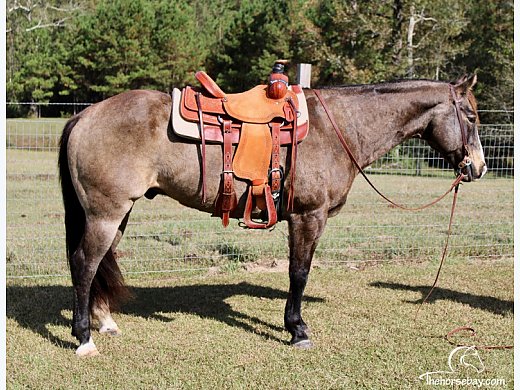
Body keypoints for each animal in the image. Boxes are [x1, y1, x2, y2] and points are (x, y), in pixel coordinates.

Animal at [58, 74, 488, 356]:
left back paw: (104, 322)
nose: (479, 168)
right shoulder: (308, 216)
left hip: (117, 214)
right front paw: (297, 330)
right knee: (84, 263)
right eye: (469, 116)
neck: (339, 128)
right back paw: (84, 338)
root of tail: (85, 115)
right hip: (105, 213)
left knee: (100, 263)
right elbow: (299, 273)